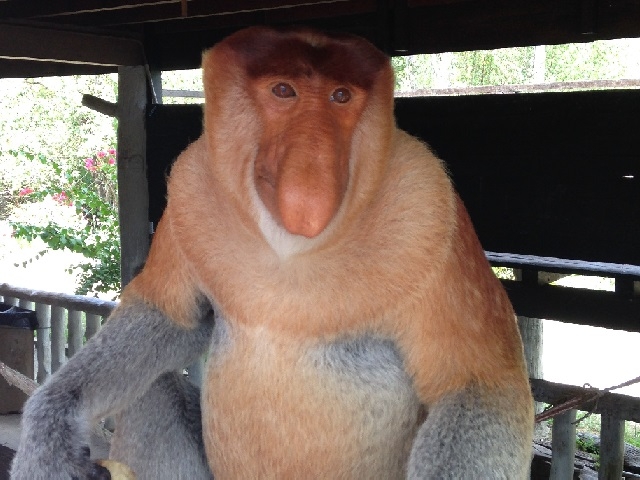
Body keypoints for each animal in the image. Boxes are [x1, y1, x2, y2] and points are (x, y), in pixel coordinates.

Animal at [11, 27, 536, 480]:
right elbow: (170, 315)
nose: (311, 172)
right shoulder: (192, 185)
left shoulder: (431, 210)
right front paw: (49, 433)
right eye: (284, 91)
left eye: (341, 97)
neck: (291, 250)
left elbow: (479, 386)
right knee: (153, 391)